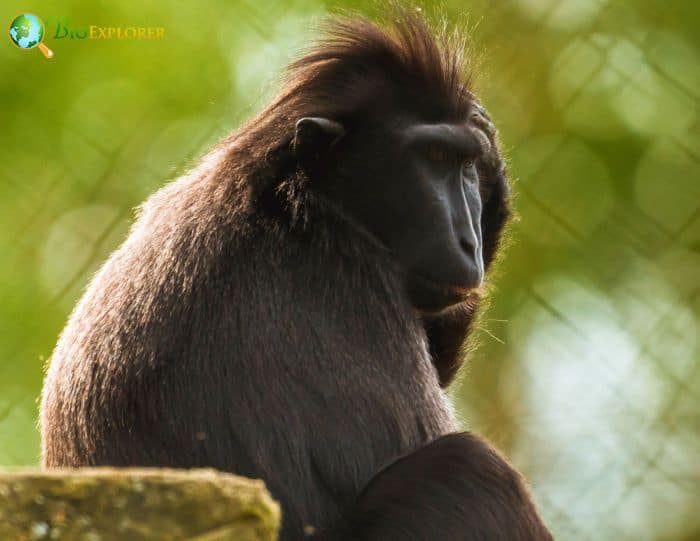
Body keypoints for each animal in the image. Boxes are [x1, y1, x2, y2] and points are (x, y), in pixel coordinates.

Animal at [41, 9, 552, 540]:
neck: (289, 193)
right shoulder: (348, 274)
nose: (469, 243)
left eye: (467, 166)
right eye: (433, 159)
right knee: (468, 468)